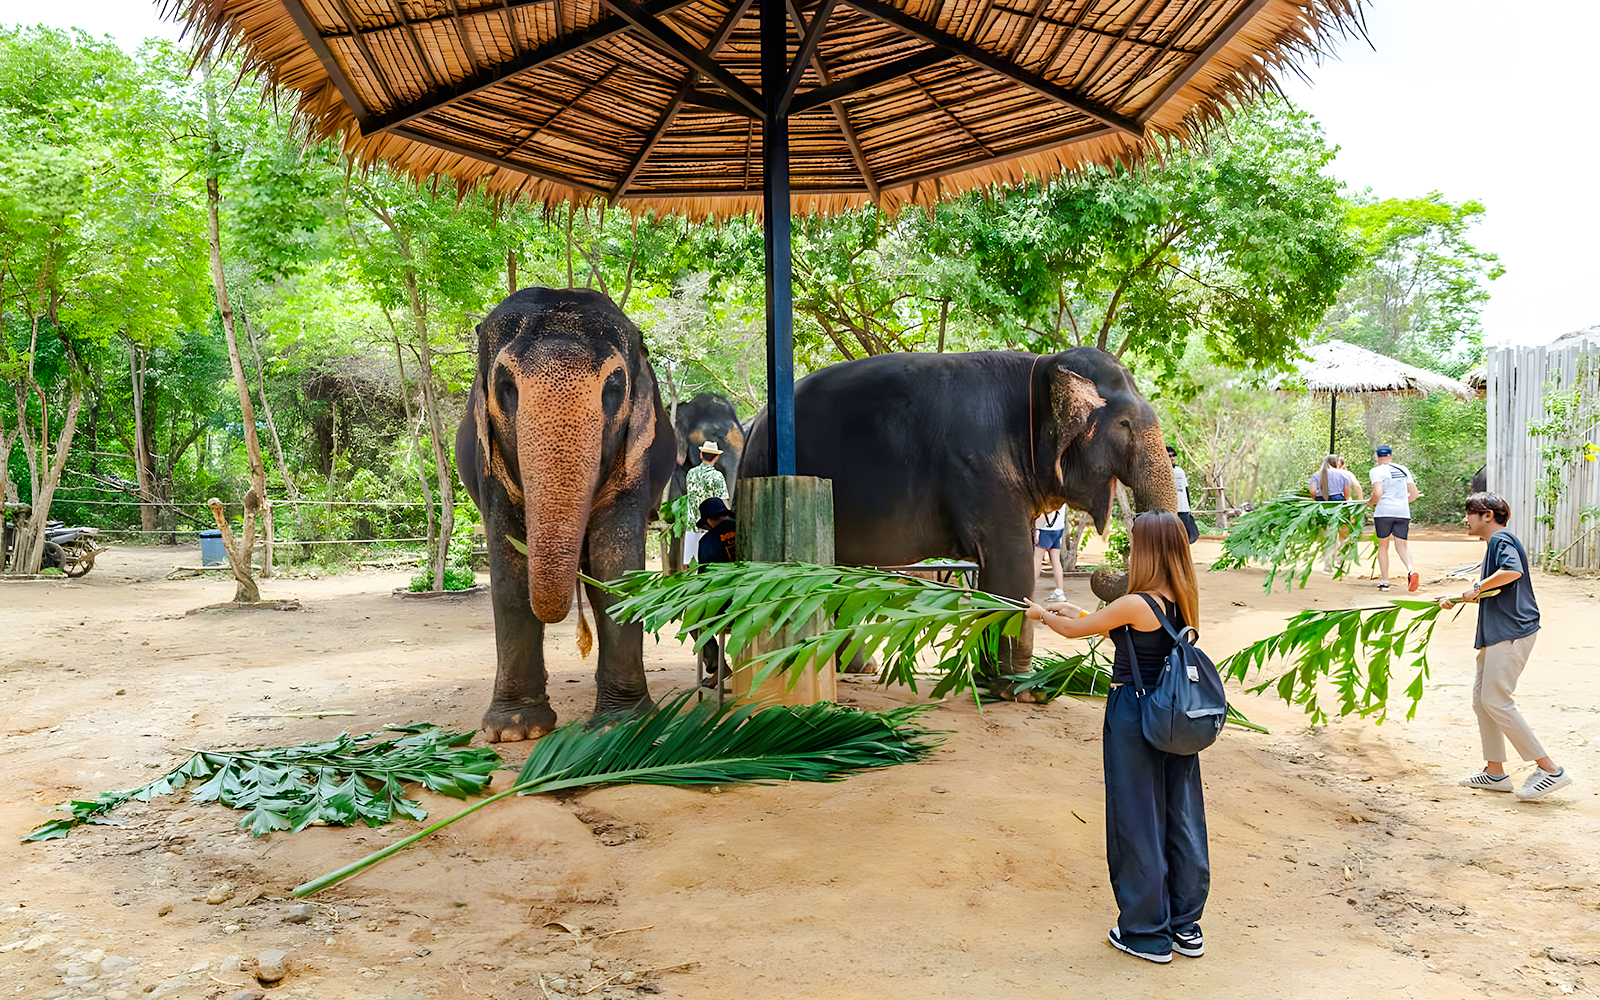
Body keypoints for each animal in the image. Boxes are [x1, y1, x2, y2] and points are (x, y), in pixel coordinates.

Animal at [456, 287, 678, 742]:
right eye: (506, 387)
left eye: (615, 385)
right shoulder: (490, 463)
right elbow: (509, 578)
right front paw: (514, 731)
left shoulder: (636, 459)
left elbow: (616, 573)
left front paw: (623, 724)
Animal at [739, 347, 1177, 678]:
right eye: (1124, 423)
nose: (1104, 574)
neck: (1041, 367)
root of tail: (757, 423)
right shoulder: (980, 467)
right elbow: (1013, 563)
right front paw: (1017, 686)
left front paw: (994, 679)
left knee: (839, 577)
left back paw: (858, 668)